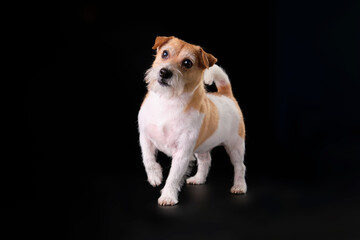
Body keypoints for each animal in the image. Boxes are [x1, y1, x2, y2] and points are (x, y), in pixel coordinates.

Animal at [136, 36, 246, 205]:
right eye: (165, 53)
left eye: (187, 63)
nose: (164, 72)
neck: (167, 101)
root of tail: (226, 95)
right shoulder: (145, 137)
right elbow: (147, 158)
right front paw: (155, 175)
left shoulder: (182, 153)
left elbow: (173, 176)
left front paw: (168, 196)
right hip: (203, 145)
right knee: (205, 160)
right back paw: (198, 179)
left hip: (235, 146)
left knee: (240, 166)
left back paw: (239, 186)